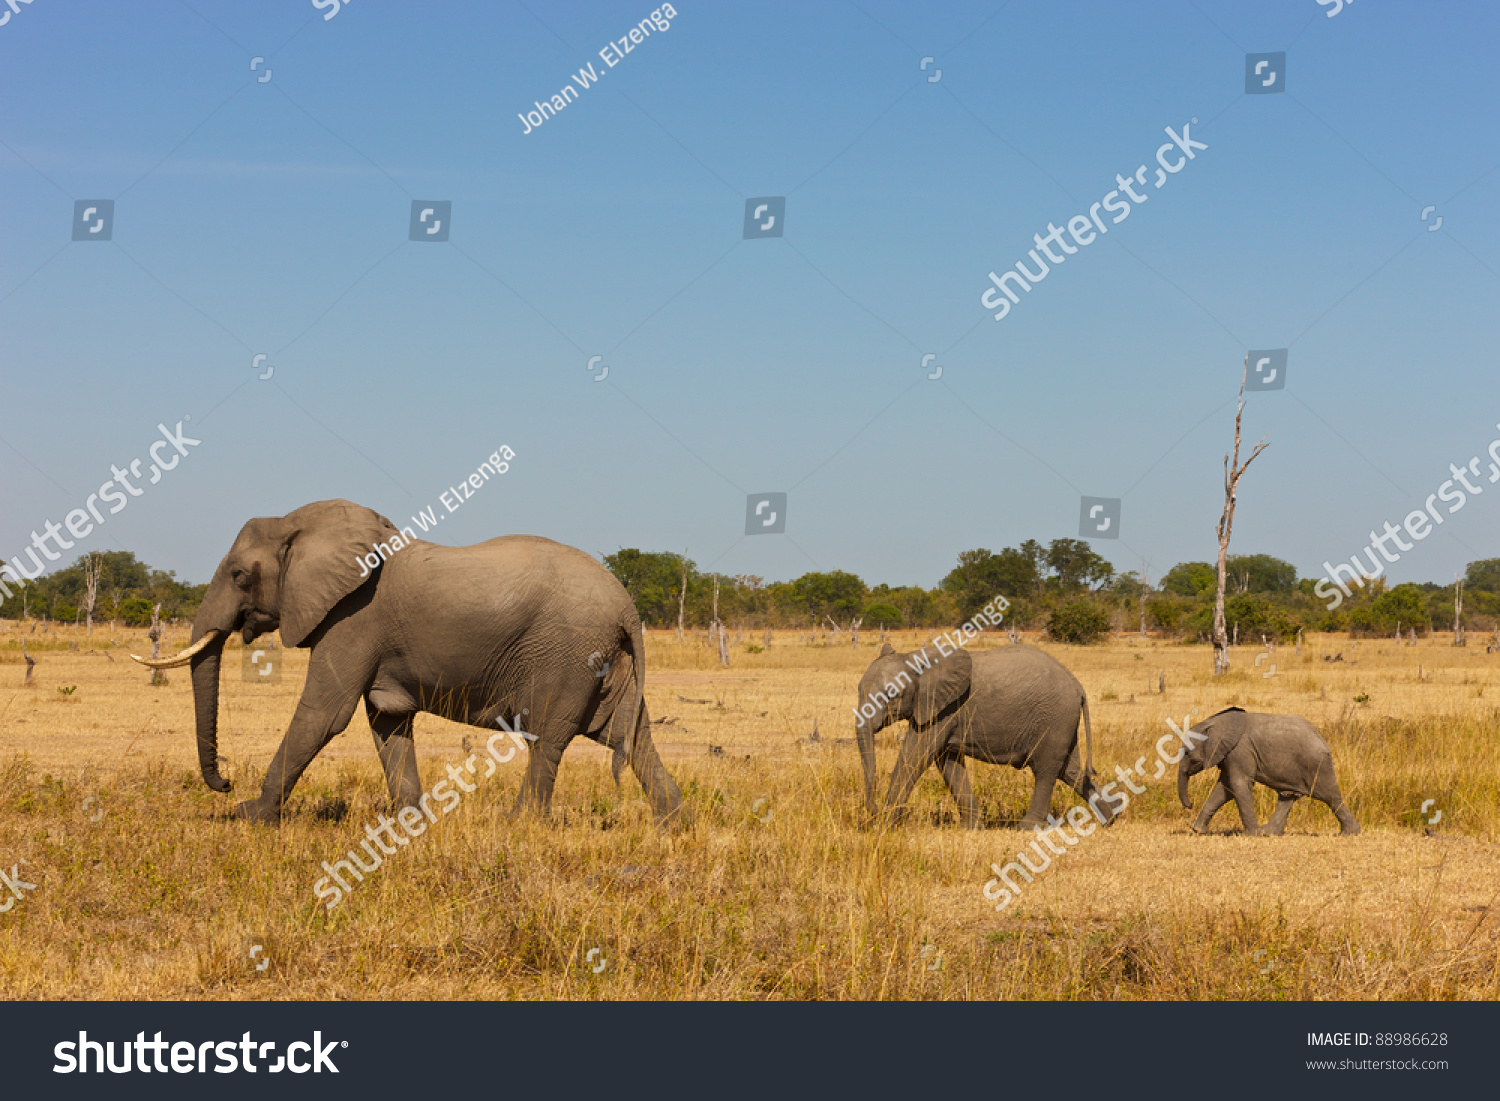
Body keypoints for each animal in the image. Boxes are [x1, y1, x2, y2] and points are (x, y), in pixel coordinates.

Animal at [133, 499, 687, 826]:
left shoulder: (353, 617)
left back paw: (519, 825)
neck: (304, 524)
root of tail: (626, 605)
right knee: (628, 735)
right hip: (606, 662)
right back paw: (673, 822)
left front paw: (251, 817)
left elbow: (323, 715)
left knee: (549, 738)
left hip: (569, 652)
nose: (225, 782)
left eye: (239, 575)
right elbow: (387, 721)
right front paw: (409, 823)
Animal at [853, 642, 1119, 828]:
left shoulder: (944, 708)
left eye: (890, 695)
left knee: (1046, 770)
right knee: (1069, 769)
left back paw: (1027, 827)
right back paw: (1111, 817)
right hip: (1062, 721)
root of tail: (1078, 686)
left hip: (1055, 717)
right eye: (858, 690)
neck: (915, 657)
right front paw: (970, 827)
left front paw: (883, 827)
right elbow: (947, 761)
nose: (873, 810)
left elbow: (915, 755)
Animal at [1177, 707, 1359, 836]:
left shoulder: (1241, 750)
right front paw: (1196, 829)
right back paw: (1268, 832)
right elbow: (1225, 788)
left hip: (1316, 765)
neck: (1216, 722)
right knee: (1288, 796)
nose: (1190, 805)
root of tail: (1322, 739)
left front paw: (1250, 835)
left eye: (1187, 753)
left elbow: (1239, 784)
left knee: (1330, 796)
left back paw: (1349, 833)